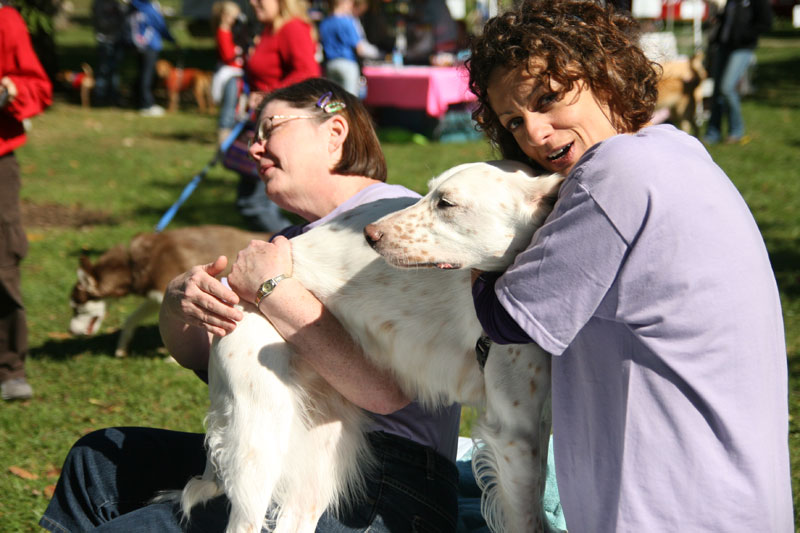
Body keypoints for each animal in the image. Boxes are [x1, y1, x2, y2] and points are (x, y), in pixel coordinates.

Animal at [183, 161, 564, 532]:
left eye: (446, 203)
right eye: (429, 192)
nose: (370, 234)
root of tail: (234, 292)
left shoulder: (535, 423)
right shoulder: (513, 431)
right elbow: (529, 519)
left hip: (322, 450)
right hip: (262, 439)